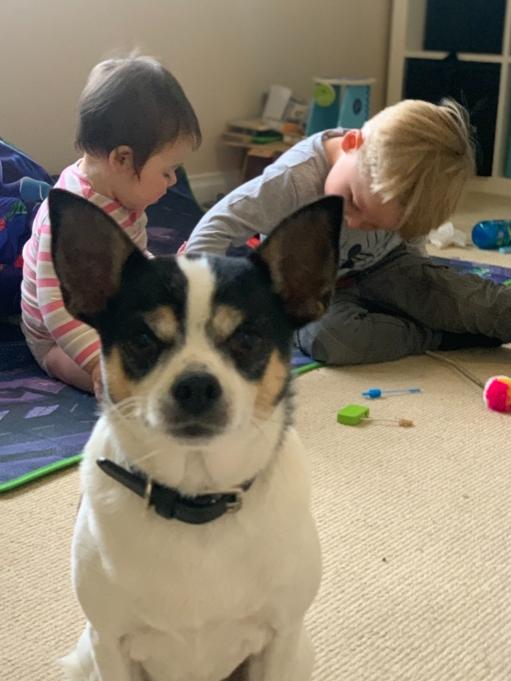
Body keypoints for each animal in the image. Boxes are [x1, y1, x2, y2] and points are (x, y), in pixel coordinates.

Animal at [50, 189, 342, 680]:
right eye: (142, 340)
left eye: (247, 339)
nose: (196, 386)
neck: (197, 496)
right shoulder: (109, 643)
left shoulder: (281, 637)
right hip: (85, 657)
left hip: (301, 653)